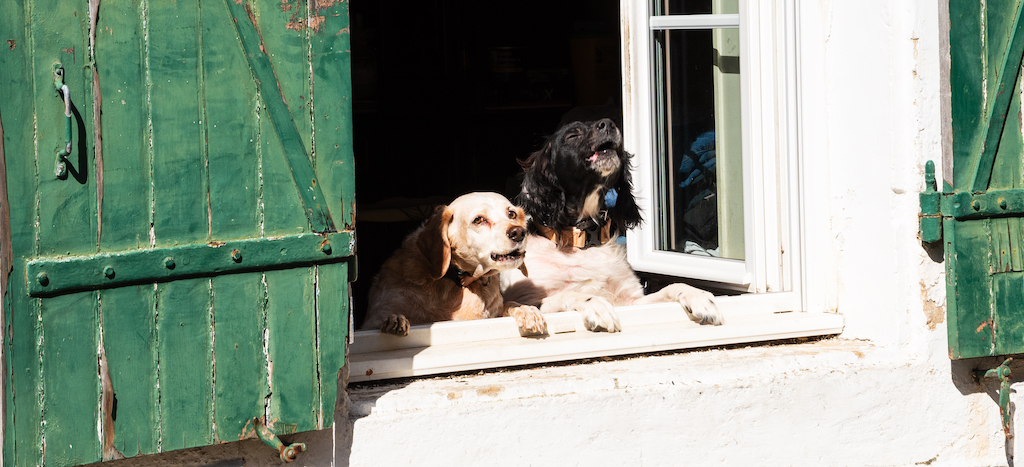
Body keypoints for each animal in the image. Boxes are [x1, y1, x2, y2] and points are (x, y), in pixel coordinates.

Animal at [499, 118, 724, 333]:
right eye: (572, 135)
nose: (608, 123)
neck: (584, 243)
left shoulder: (631, 301)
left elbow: (671, 287)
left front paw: (699, 296)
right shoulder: (527, 300)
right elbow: (569, 294)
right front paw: (597, 305)